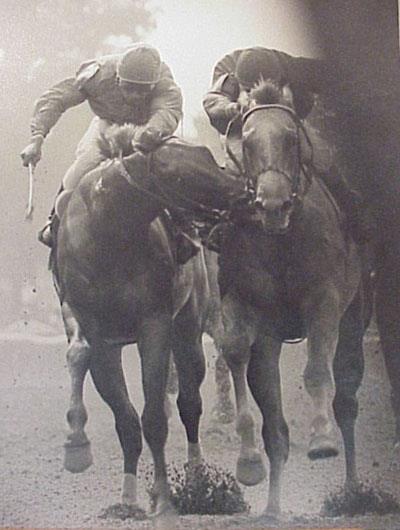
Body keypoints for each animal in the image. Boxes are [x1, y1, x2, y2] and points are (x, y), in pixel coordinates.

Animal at [50, 128, 244, 516]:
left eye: (205, 155)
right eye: (179, 174)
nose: (243, 189)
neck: (108, 232)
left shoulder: (155, 325)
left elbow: (155, 418)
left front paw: (165, 497)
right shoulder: (98, 336)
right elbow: (125, 420)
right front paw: (124, 495)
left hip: (188, 329)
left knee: (190, 403)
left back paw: (197, 476)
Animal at [219, 80, 366, 512]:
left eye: (290, 138)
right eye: (248, 141)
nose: (273, 204)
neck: (281, 241)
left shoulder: (325, 298)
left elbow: (317, 371)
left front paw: (321, 439)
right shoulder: (246, 304)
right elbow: (236, 350)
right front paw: (248, 462)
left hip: (355, 315)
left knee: (346, 401)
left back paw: (353, 491)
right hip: (270, 345)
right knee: (277, 431)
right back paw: (272, 509)